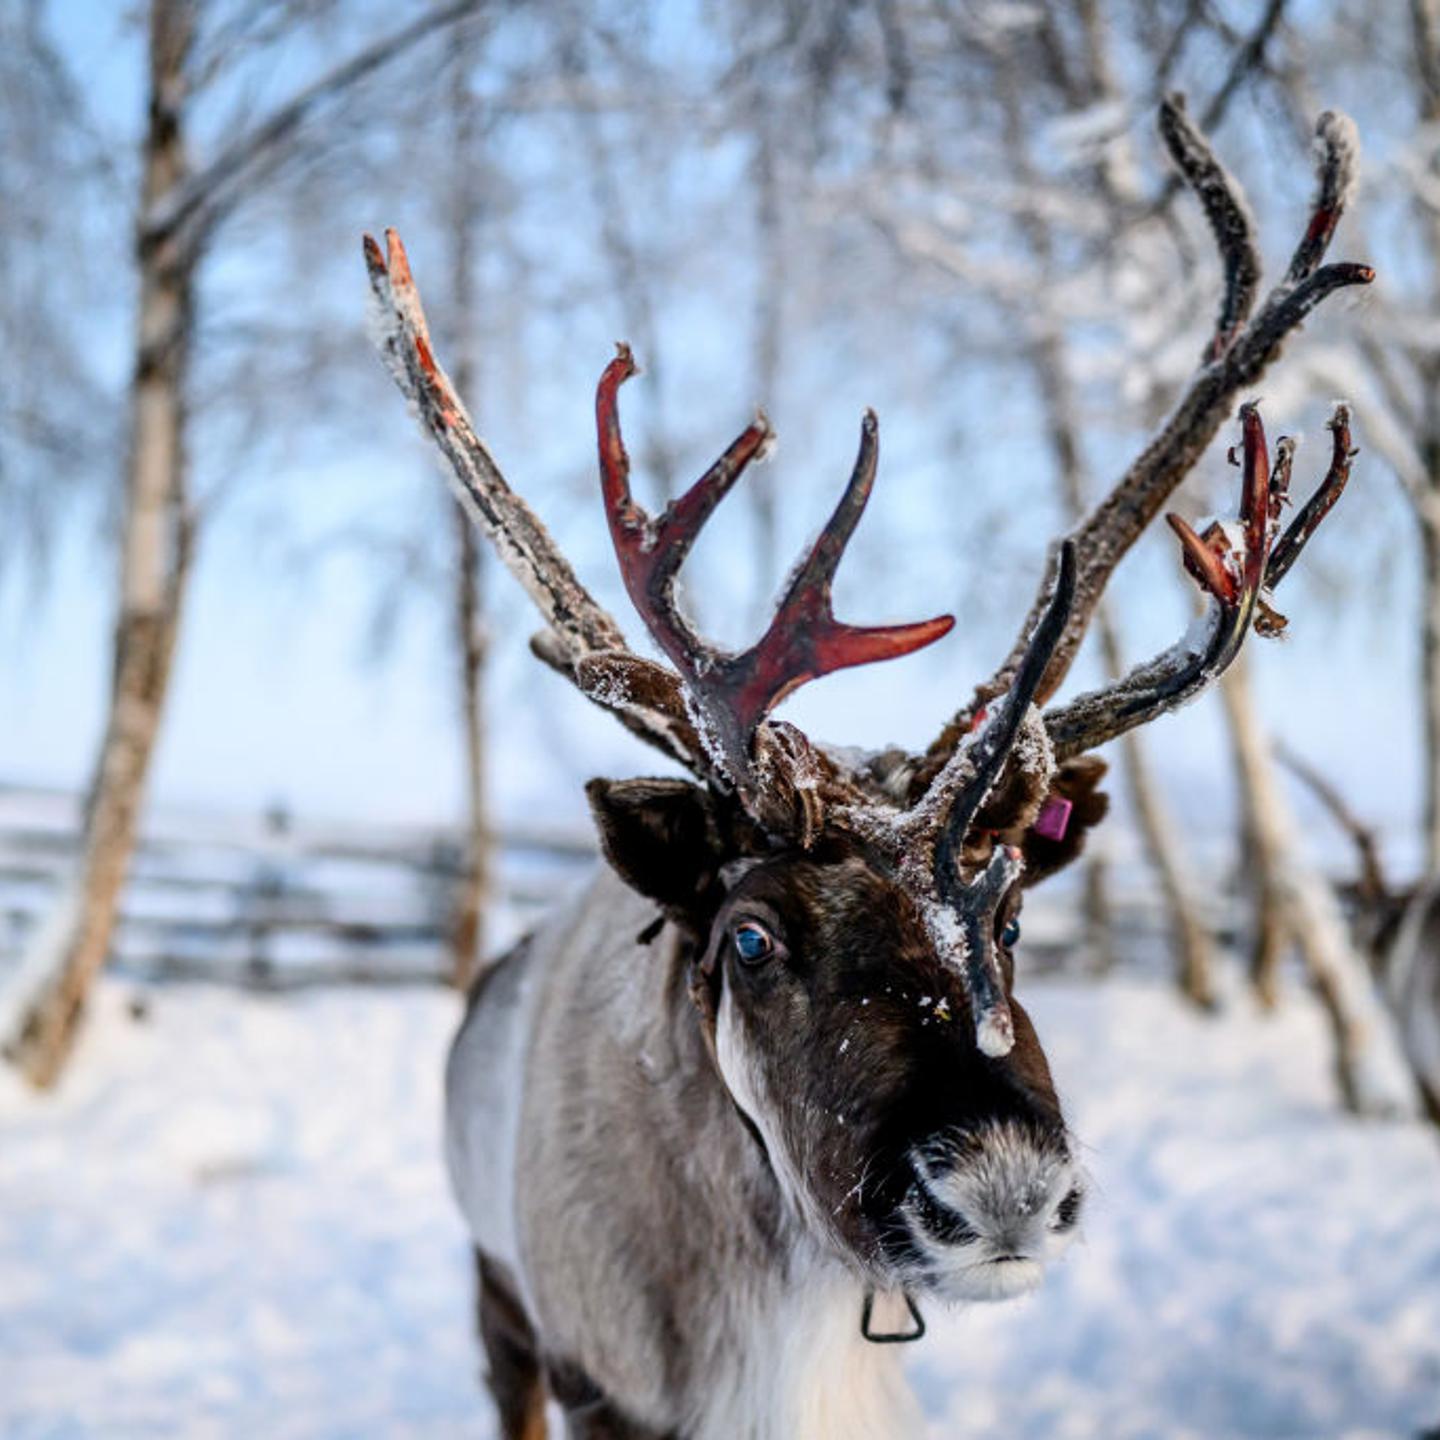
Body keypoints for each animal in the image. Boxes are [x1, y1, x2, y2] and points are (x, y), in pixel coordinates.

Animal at [364, 95, 1370, 1440]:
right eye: (748, 937)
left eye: (1013, 918)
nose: (1004, 1190)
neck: (772, 1327)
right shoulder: (596, 1379)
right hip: (493, 1294)